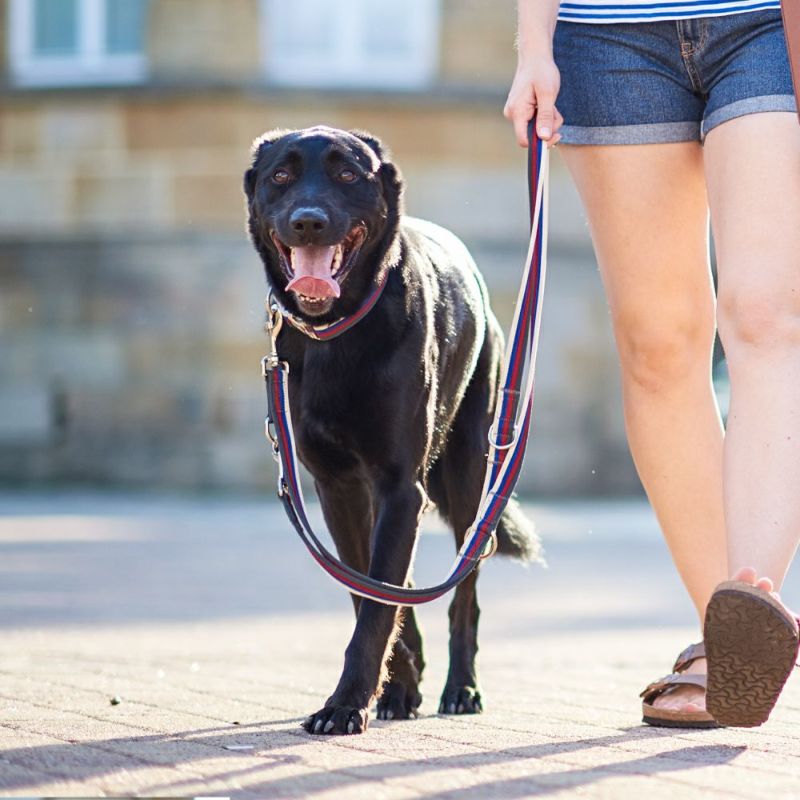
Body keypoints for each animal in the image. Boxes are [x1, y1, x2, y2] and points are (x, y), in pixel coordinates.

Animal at [244, 126, 536, 736]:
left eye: (347, 174)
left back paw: (461, 687)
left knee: (463, 595)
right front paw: (394, 686)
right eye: (281, 175)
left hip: (471, 478)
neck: (337, 333)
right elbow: (368, 593)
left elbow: (379, 607)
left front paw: (344, 704)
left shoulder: (402, 486)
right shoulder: (339, 488)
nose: (308, 221)